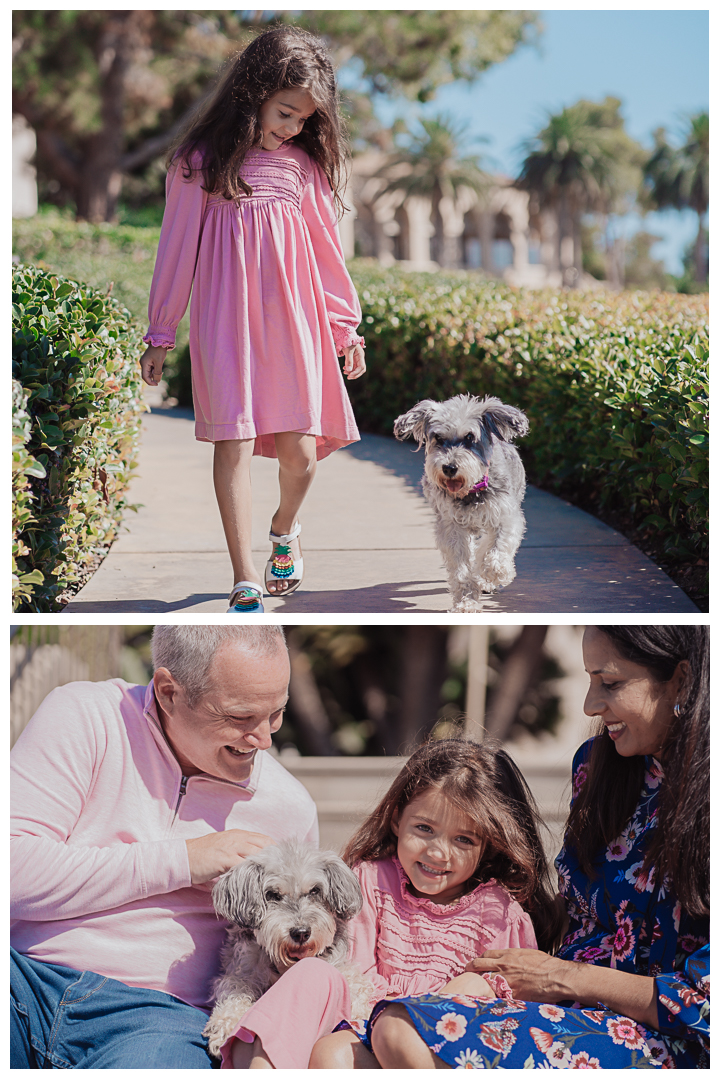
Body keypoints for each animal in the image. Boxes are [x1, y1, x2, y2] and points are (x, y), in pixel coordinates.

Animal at [202, 838, 371, 1058]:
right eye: (272, 894)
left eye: (315, 891)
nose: (301, 932)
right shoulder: (239, 973)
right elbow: (233, 994)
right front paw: (226, 1027)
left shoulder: (338, 965)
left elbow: (356, 984)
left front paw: (359, 1013)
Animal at [395, 393, 528, 613]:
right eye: (438, 438)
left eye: (469, 437)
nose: (449, 467)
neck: (470, 490)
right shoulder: (451, 528)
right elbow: (461, 568)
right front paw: (466, 602)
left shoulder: (506, 517)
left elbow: (498, 547)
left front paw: (496, 572)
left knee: (486, 546)